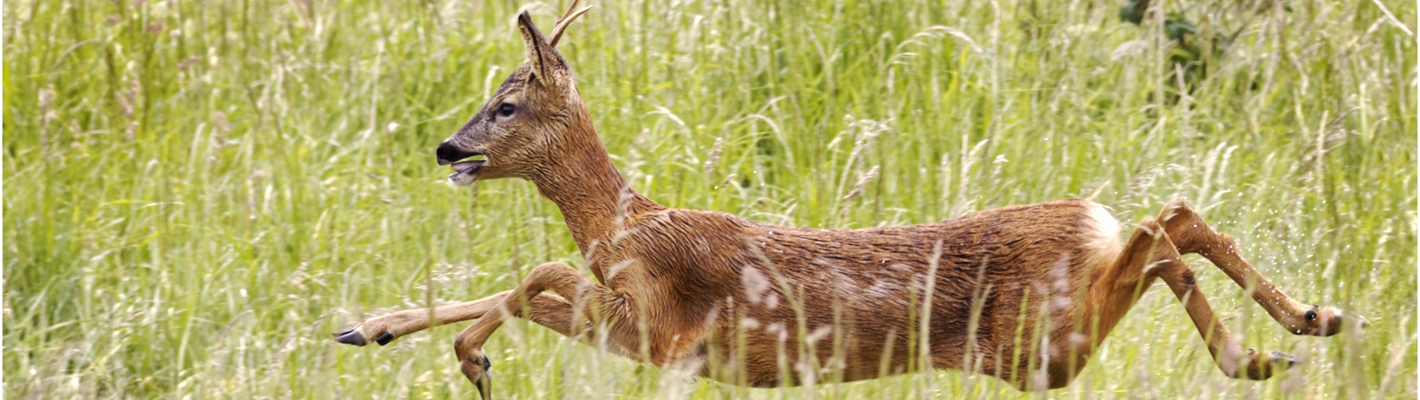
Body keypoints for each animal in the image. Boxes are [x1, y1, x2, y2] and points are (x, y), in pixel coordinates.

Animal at [329, 3, 1363, 397]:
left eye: (506, 102)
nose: (448, 147)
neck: (625, 222)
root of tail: (1086, 217)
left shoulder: (660, 324)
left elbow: (535, 268)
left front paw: (472, 361)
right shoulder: (640, 334)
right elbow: (525, 280)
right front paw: (369, 328)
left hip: (1044, 339)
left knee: (1162, 228)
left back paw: (1276, 340)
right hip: (1050, 338)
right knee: (1169, 222)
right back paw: (1296, 331)